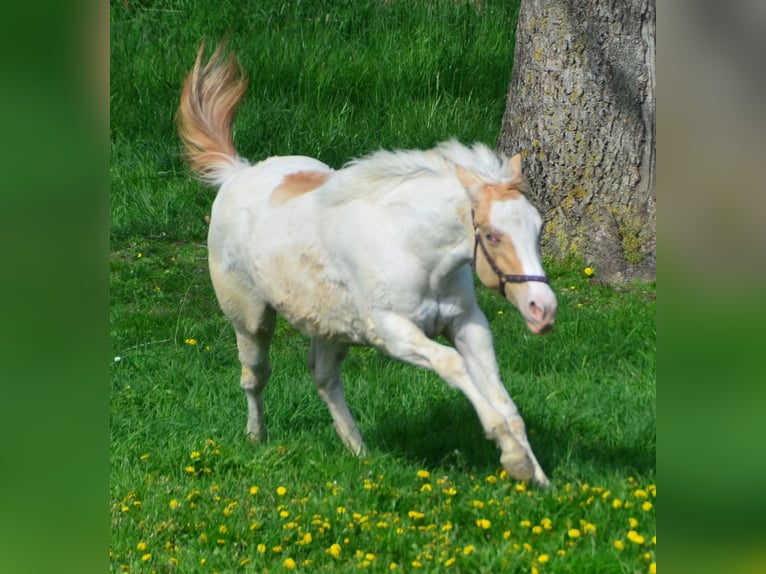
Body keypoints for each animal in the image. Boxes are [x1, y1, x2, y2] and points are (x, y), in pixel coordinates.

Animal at [178, 42, 560, 488]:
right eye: (494, 235)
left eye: (538, 228)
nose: (542, 309)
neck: (414, 248)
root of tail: (237, 173)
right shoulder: (393, 332)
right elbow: (454, 365)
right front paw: (513, 459)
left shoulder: (467, 323)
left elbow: (505, 400)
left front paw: (537, 477)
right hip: (251, 318)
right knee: (255, 375)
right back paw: (258, 437)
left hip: (329, 325)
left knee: (323, 376)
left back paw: (359, 451)